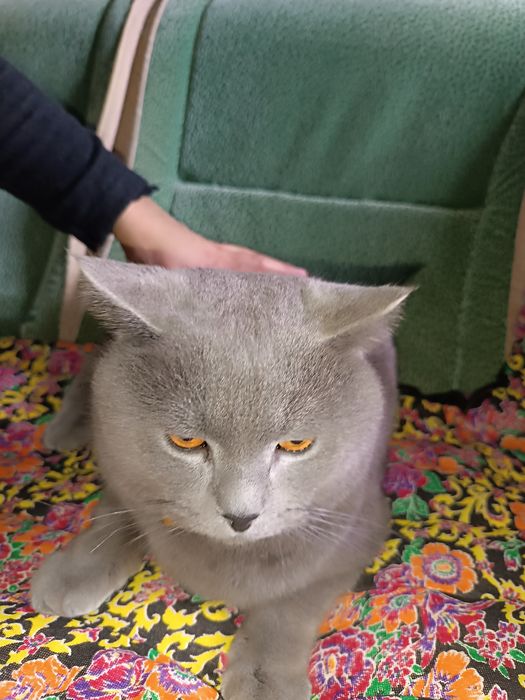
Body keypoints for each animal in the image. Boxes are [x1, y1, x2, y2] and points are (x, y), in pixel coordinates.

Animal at [31, 257, 410, 700]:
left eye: (296, 444)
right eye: (186, 441)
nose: (241, 515)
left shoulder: (358, 526)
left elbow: (292, 601)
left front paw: (266, 679)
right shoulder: (122, 467)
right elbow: (116, 515)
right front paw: (71, 574)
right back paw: (66, 428)